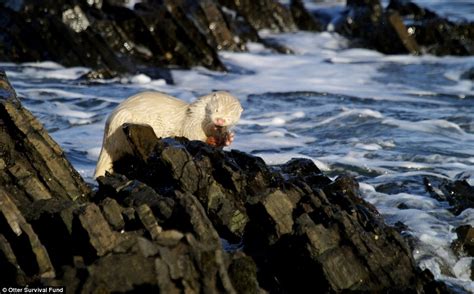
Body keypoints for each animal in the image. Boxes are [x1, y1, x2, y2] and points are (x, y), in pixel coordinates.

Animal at [95, 91, 244, 179]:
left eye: (230, 116)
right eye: (217, 109)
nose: (220, 120)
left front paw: (227, 138)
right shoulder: (191, 123)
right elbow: (192, 135)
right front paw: (211, 140)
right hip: (122, 123)